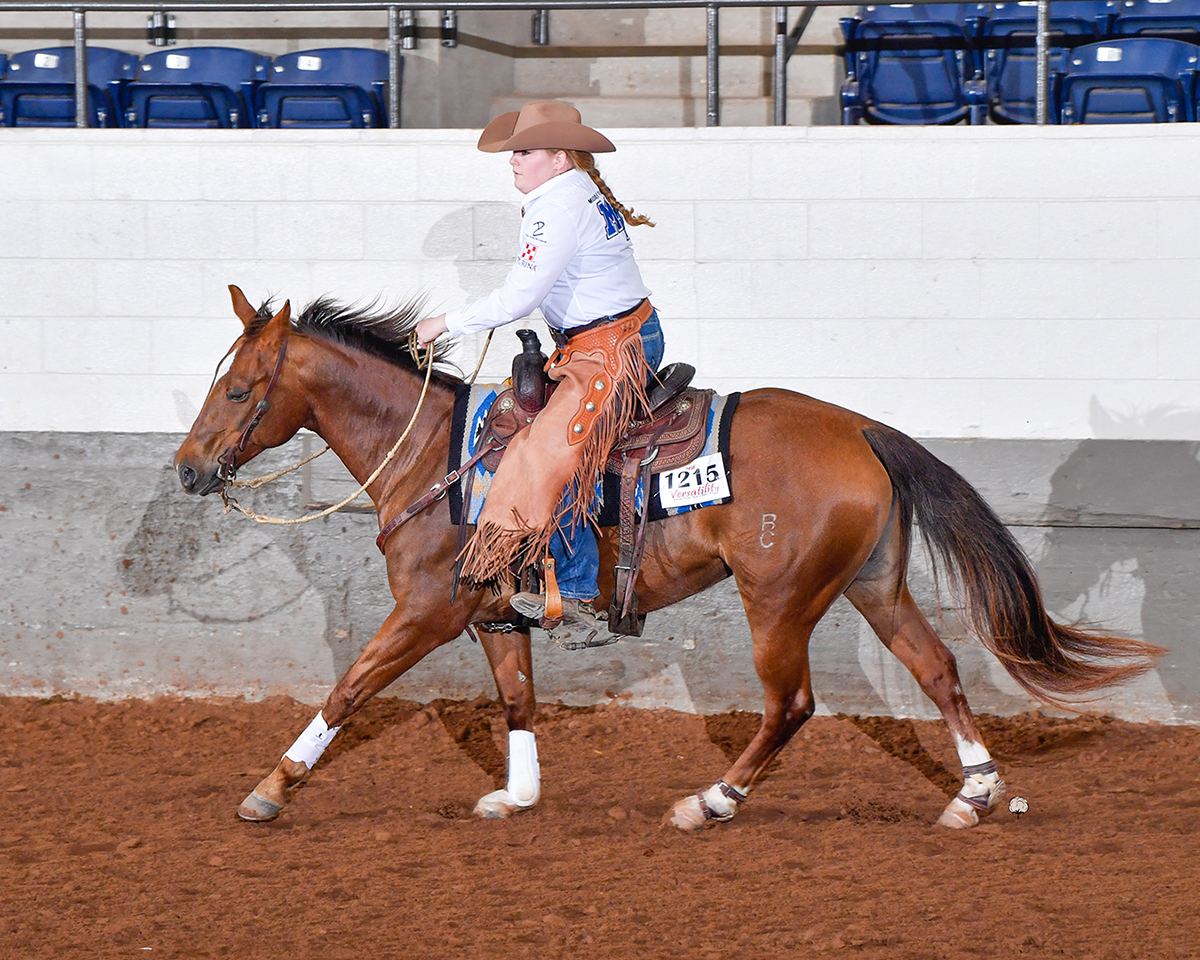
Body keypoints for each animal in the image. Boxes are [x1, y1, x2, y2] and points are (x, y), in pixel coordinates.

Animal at [174, 285, 1162, 831]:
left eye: (239, 389)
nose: (186, 467)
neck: (431, 455)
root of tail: (863, 430)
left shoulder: (428, 611)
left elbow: (348, 689)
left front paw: (270, 788)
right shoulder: (491, 614)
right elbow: (518, 700)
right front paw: (516, 798)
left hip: (780, 603)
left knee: (792, 705)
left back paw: (710, 802)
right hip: (874, 587)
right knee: (939, 670)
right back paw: (974, 795)